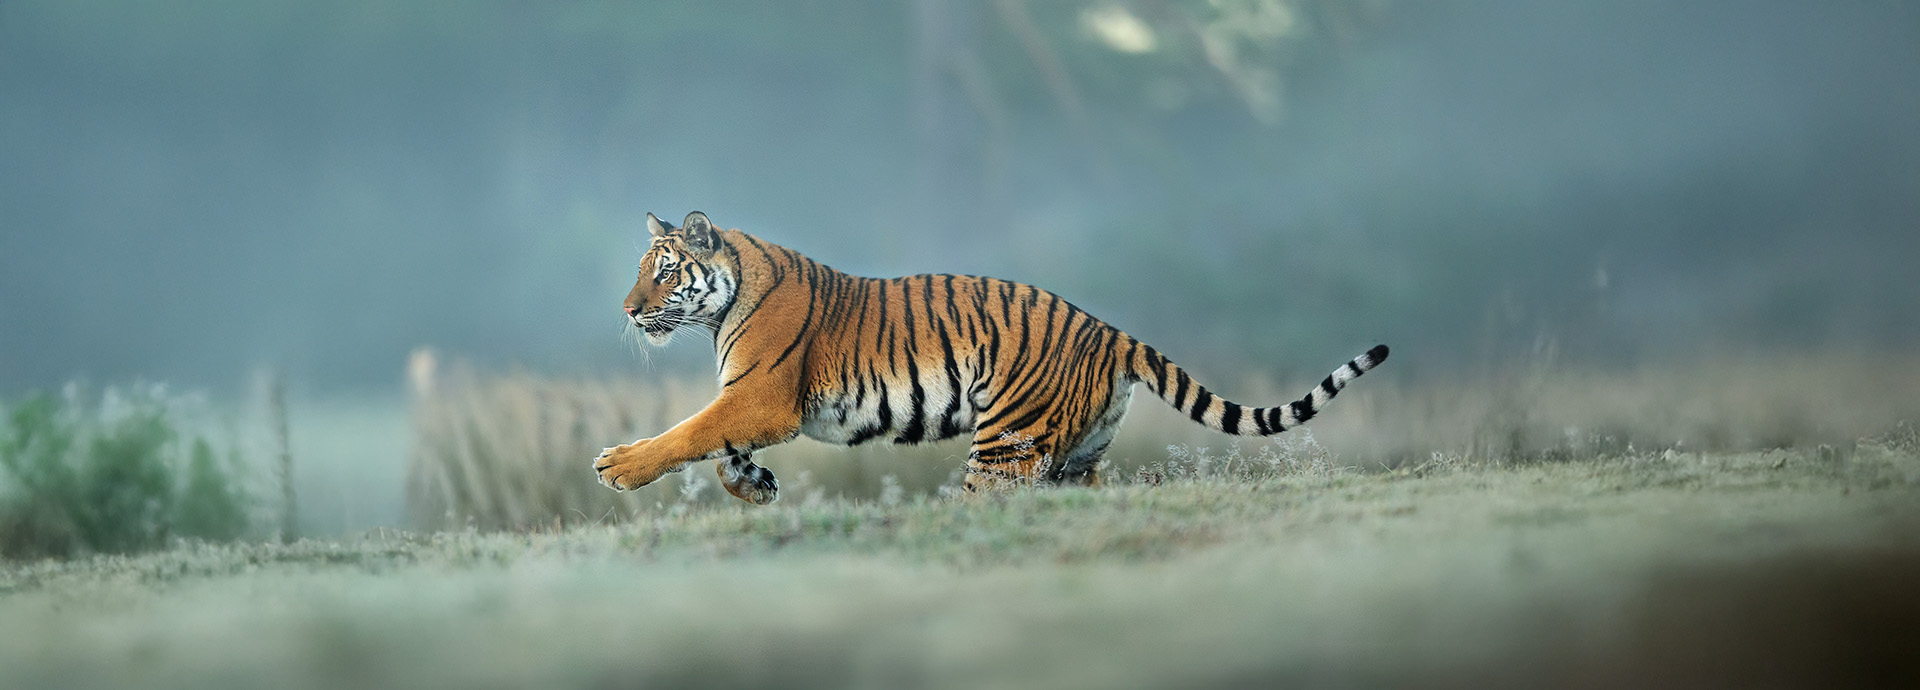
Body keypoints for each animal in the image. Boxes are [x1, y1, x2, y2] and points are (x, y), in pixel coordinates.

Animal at [595, 211, 1389, 503]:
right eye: (640, 271)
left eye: (663, 272)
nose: (627, 310)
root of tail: (1105, 329)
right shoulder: (753, 404)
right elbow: (716, 446)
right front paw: (753, 484)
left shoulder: (763, 396)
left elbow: (688, 432)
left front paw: (619, 467)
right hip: (1077, 453)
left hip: (1007, 443)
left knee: (990, 499)